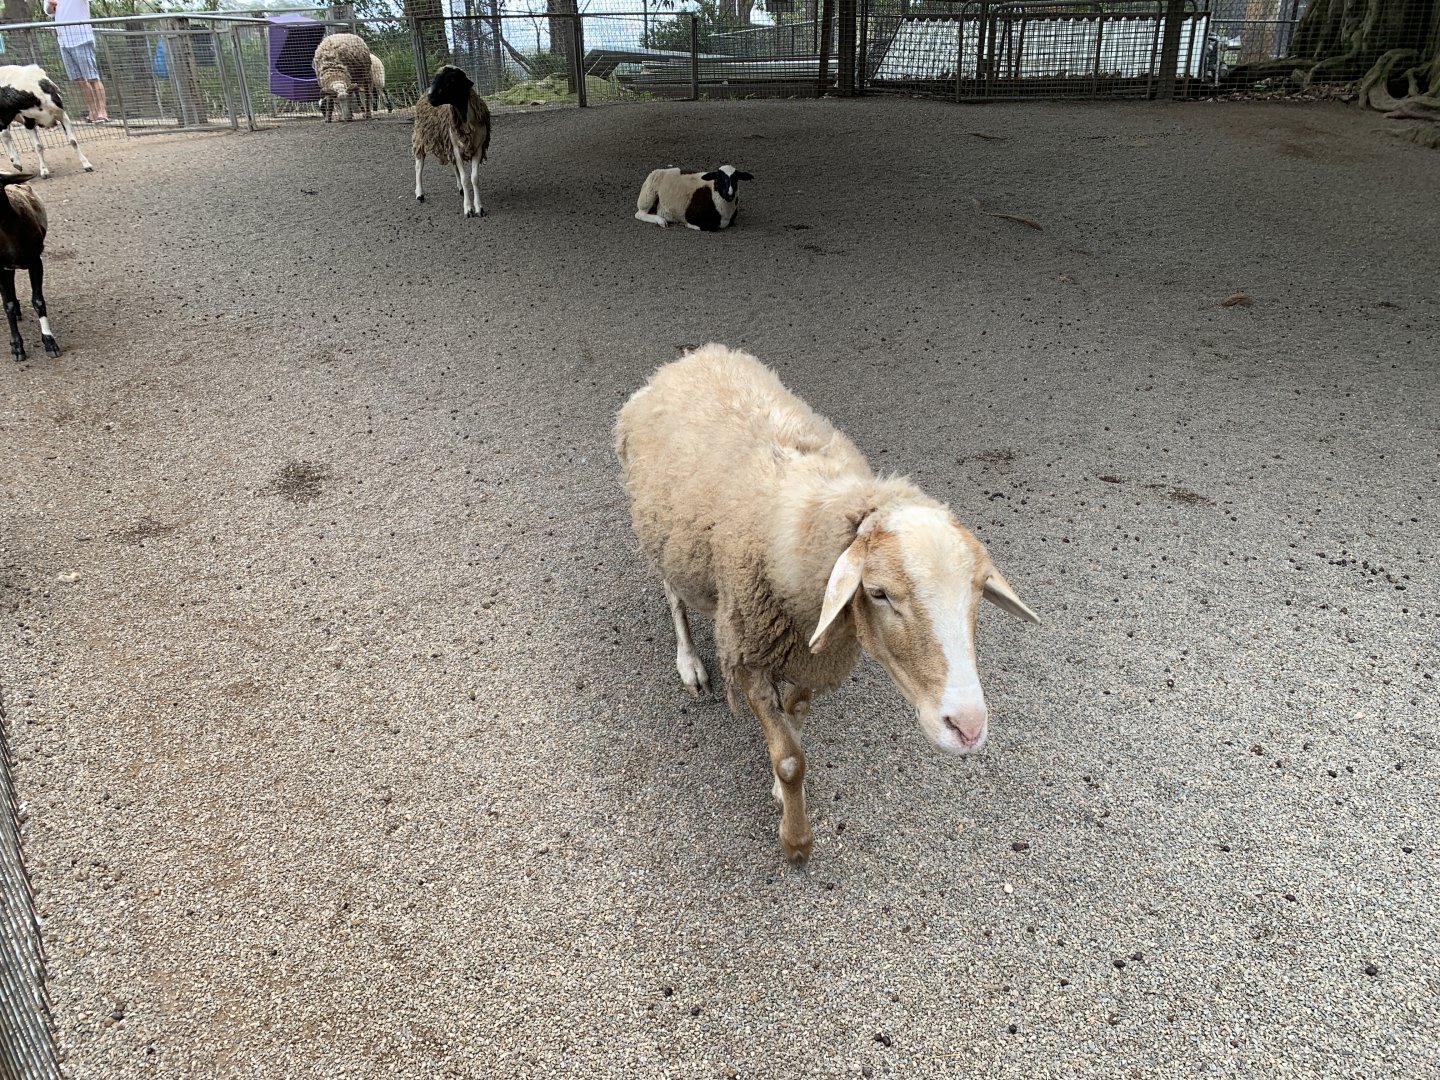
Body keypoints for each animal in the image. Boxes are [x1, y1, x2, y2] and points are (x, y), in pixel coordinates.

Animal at [412, 66, 491, 220]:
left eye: (452, 79)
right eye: (435, 78)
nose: (431, 97)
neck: (466, 120)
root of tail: (423, 92)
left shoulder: (477, 148)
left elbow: (474, 178)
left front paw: (479, 208)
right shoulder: (456, 149)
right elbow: (466, 179)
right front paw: (468, 209)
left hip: (447, 143)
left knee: (454, 167)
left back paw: (459, 188)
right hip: (421, 137)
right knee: (419, 166)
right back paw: (419, 193)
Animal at [615, 344, 1040, 860]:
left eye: (978, 591)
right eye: (878, 593)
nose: (968, 728)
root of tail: (692, 357)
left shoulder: (813, 652)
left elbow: (794, 716)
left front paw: (782, 780)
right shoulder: (747, 651)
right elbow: (791, 761)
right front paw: (795, 838)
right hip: (661, 538)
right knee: (673, 595)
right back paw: (690, 663)